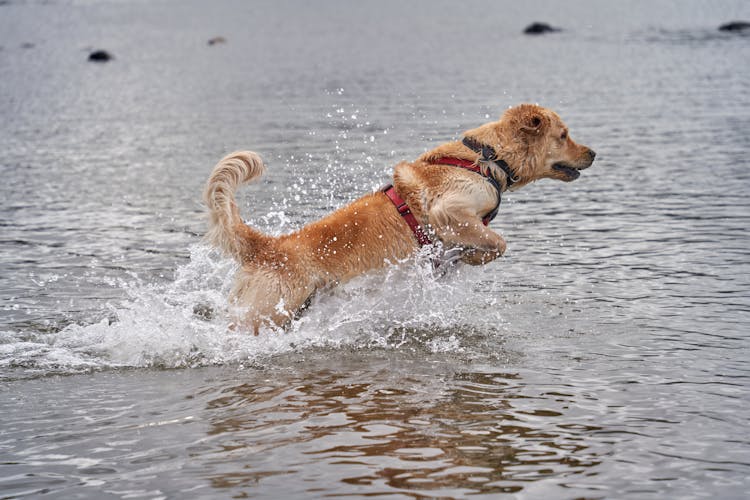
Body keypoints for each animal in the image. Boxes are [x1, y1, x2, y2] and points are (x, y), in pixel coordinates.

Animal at [203, 103, 596, 334]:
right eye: (563, 135)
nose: (593, 153)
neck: (486, 158)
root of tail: (266, 247)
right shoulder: (448, 210)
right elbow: (497, 242)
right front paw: (470, 256)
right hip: (265, 312)